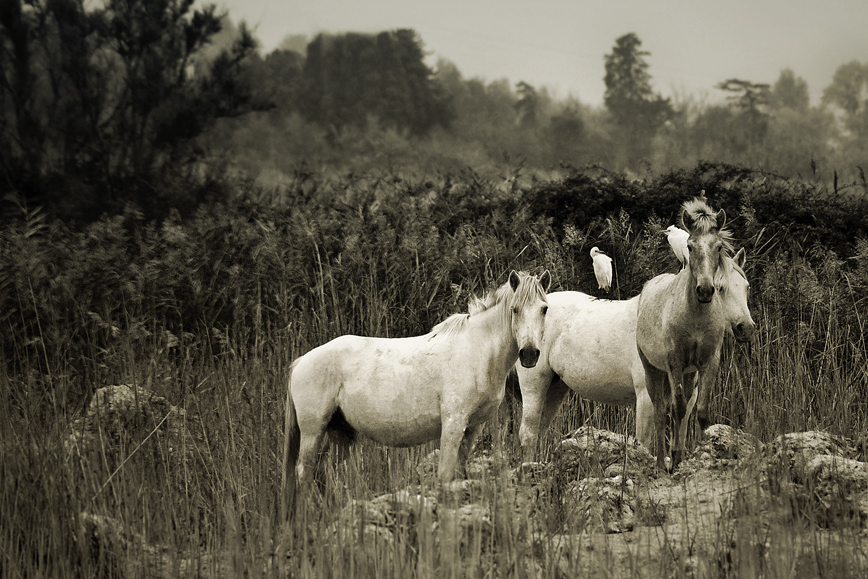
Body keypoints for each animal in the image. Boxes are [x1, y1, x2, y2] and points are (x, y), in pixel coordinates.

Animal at [282, 270, 552, 516]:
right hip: (313, 430)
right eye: (515, 309)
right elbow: (445, 475)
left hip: (341, 433)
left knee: (322, 473)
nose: (529, 354)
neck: (478, 352)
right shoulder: (453, 423)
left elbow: (459, 473)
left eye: (544, 309)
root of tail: (300, 362)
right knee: (304, 472)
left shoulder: (473, 427)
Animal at [516, 248, 752, 462]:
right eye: (719, 289)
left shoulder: (689, 395)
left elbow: (681, 430)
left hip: (556, 386)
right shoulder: (645, 395)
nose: (746, 328)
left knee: (538, 430)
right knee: (528, 433)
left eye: (746, 287)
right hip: (534, 384)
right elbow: (644, 440)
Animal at [636, 199, 732, 472]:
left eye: (719, 246)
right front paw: (673, 462)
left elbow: (700, 412)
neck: (696, 314)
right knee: (661, 410)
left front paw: (701, 453)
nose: (705, 290)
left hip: (689, 373)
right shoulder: (674, 363)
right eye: (690, 246)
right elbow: (677, 410)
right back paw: (661, 461)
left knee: (684, 406)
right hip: (654, 370)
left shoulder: (709, 362)